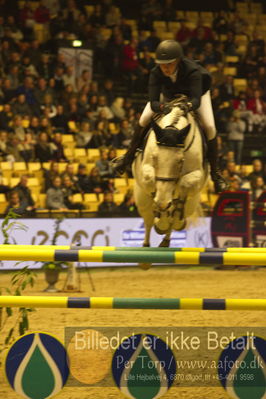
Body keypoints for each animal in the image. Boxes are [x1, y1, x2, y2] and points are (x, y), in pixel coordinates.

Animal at [132, 95, 209, 252]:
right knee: (148, 221)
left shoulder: (197, 175)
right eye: (155, 157)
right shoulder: (146, 169)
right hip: (142, 200)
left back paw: (167, 234)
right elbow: (150, 180)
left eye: (180, 161)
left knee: (174, 219)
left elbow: (184, 183)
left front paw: (170, 217)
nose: (162, 203)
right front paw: (160, 215)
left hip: (192, 203)